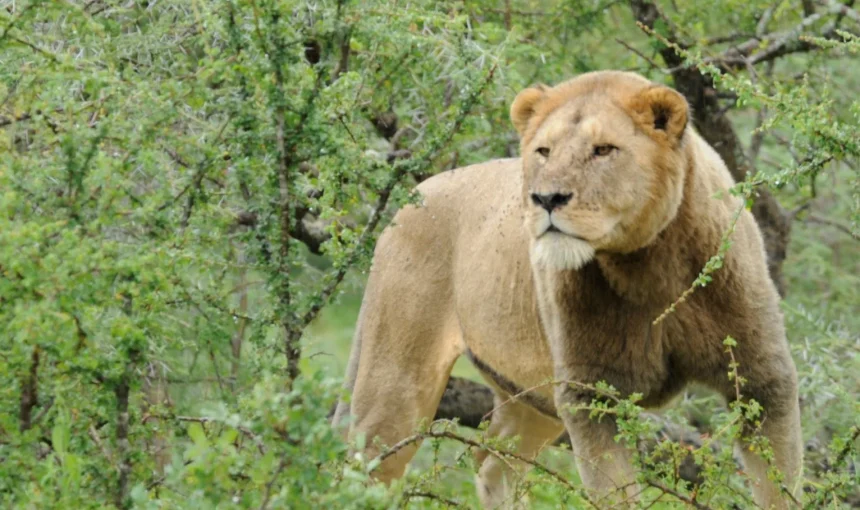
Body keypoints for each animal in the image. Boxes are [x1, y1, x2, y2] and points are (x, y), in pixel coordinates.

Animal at [333, 71, 802, 508]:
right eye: (544, 151)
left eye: (603, 150)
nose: (546, 198)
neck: (649, 265)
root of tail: (413, 192)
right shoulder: (589, 393)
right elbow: (614, 494)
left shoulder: (762, 380)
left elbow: (780, 485)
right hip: (397, 381)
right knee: (364, 464)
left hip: (531, 397)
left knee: (492, 461)